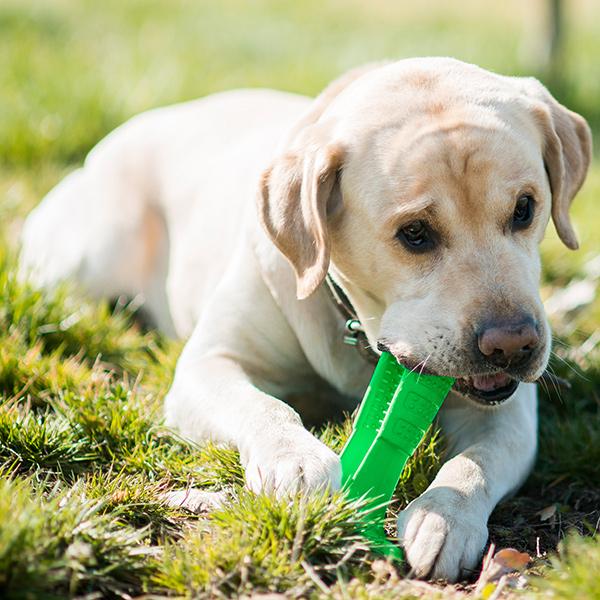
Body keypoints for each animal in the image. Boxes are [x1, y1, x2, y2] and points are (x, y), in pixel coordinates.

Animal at [19, 58, 591, 580]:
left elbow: (477, 461)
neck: (357, 331)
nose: (513, 345)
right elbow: (264, 407)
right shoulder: (206, 365)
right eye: (414, 233)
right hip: (87, 257)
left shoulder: (510, 416)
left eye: (525, 208)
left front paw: (444, 516)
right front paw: (295, 461)